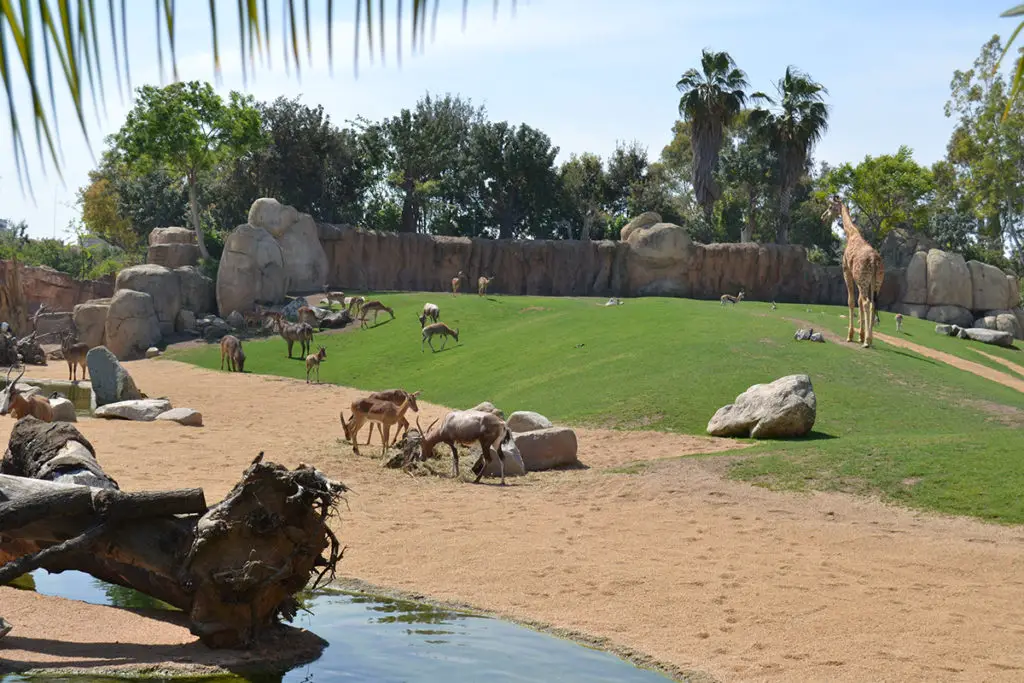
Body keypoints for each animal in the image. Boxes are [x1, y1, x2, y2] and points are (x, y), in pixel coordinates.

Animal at [819, 194, 884, 350]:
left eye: (830, 207)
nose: (823, 217)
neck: (851, 234)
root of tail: (874, 260)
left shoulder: (847, 271)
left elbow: (851, 301)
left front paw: (850, 336)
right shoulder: (861, 280)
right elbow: (858, 301)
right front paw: (860, 335)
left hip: (862, 279)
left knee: (866, 303)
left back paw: (867, 341)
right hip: (876, 282)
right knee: (872, 304)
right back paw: (869, 339)